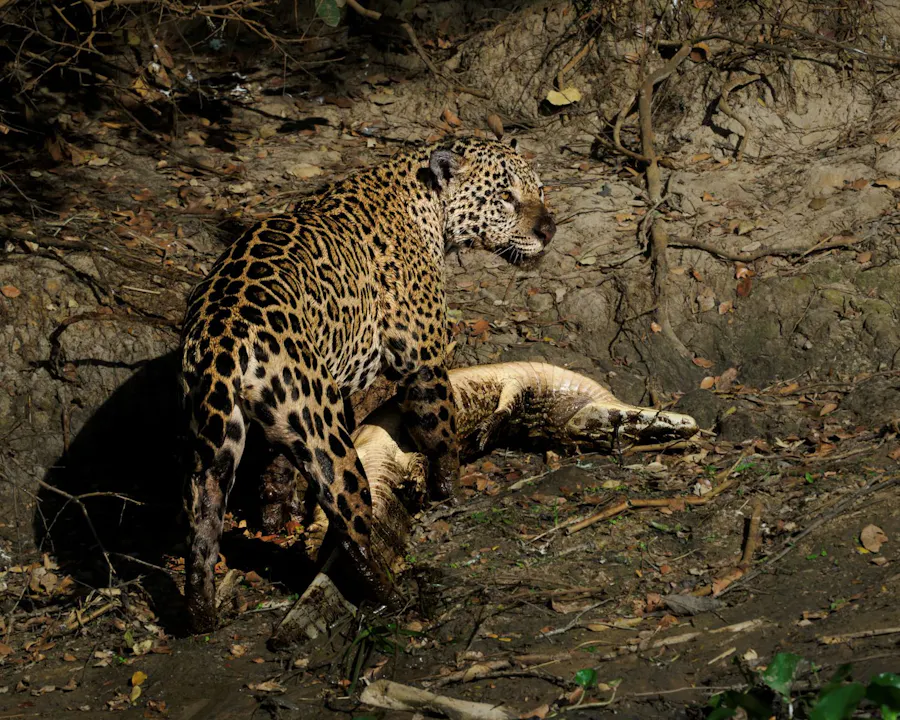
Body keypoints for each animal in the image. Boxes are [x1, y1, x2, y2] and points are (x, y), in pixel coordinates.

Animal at [179, 136, 556, 631]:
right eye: (506, 198)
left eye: (540, 190)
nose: (550, 230)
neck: (424, 202)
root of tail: (224, 333)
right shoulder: (422, 360)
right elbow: (440, 433)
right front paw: (451, 490)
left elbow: (276, 467)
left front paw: (279, 514)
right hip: (323, 433)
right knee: (350, 521)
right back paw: (391, 596)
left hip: (216, 441)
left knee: (201, 526)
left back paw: (201, 615)